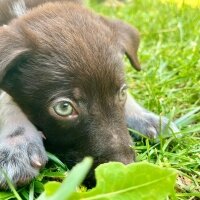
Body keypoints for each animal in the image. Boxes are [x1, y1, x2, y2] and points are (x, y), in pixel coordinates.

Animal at [0, 0, 178, 188]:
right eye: (64, 108)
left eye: (122, 93)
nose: (123, 169)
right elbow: (5, 98)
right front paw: (17, 144)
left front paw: (146, 117)